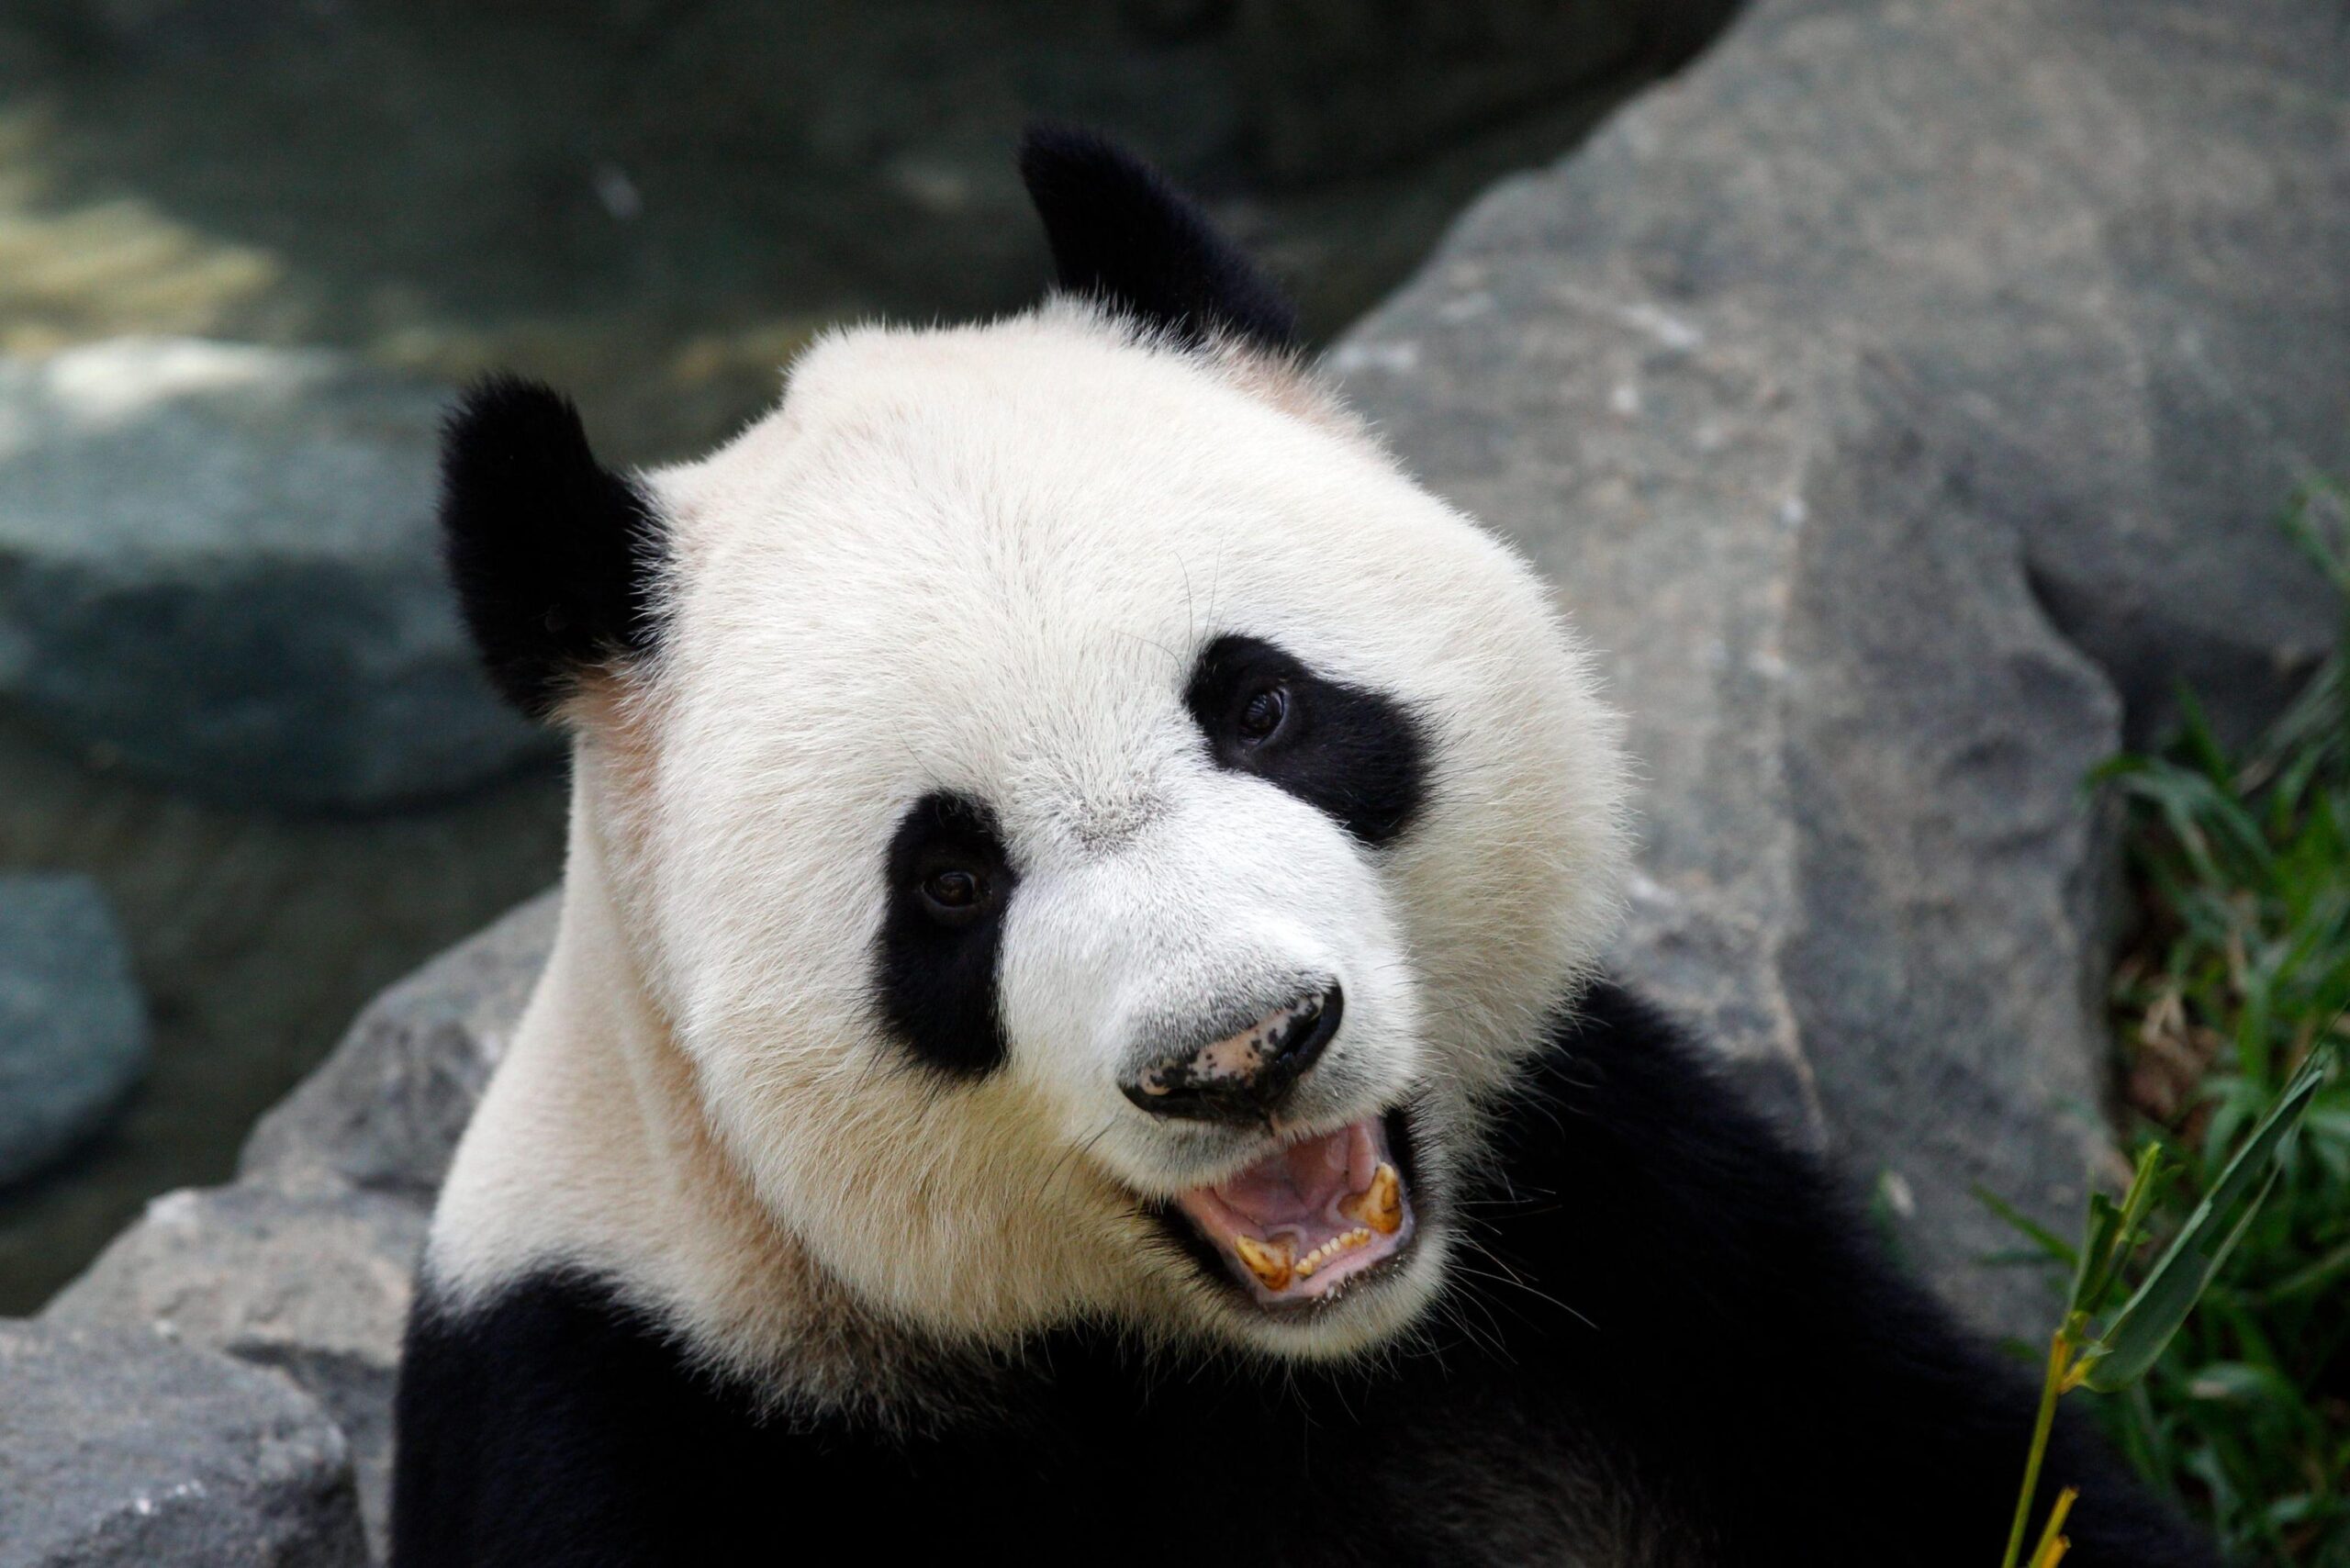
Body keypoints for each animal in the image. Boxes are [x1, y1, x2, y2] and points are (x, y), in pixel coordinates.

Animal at [389, 131, 2218, 1568]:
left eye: (1260, 706)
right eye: (949, 882)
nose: (1240, 1050)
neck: (1269, 1357)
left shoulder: (1647, 1239)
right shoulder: (653, 1403)